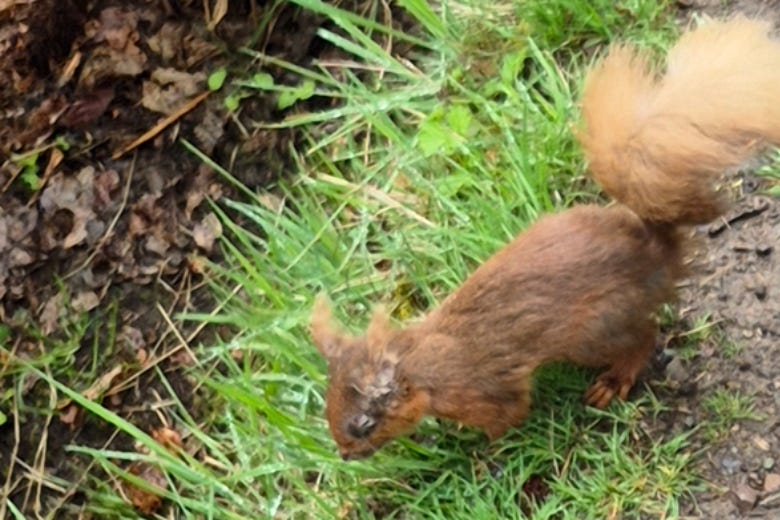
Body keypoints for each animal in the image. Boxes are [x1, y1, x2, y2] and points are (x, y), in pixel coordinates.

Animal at [310, 17, 780, 460]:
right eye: (328, 408)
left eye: (364, 424)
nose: (345, 455)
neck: (421, 363)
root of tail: (655, 251)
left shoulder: (484, 391)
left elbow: (508, 416)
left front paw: (482, 454)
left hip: (597, 329)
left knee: (644, 338)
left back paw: (613, 381)